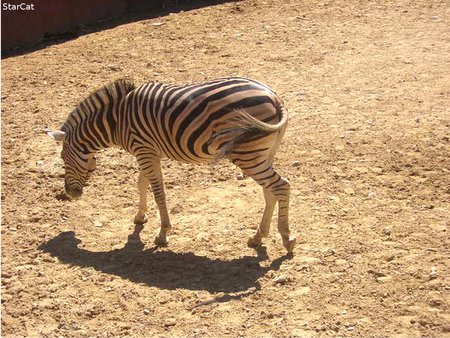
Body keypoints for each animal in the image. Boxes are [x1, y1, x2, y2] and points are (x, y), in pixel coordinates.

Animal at [46, 77, 296, 251]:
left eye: (63, 159)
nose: (70, 194)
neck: (116, 120)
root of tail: (274, 97)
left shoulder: (145, 151)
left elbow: (159, 192)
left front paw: (162, 233)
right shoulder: (146, 152)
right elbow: (141, 184)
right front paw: (140, 216)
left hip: (247, 154)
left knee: (281, 186)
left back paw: (286, 237)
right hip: (263, 153)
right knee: (270, 191)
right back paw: (257, 237)